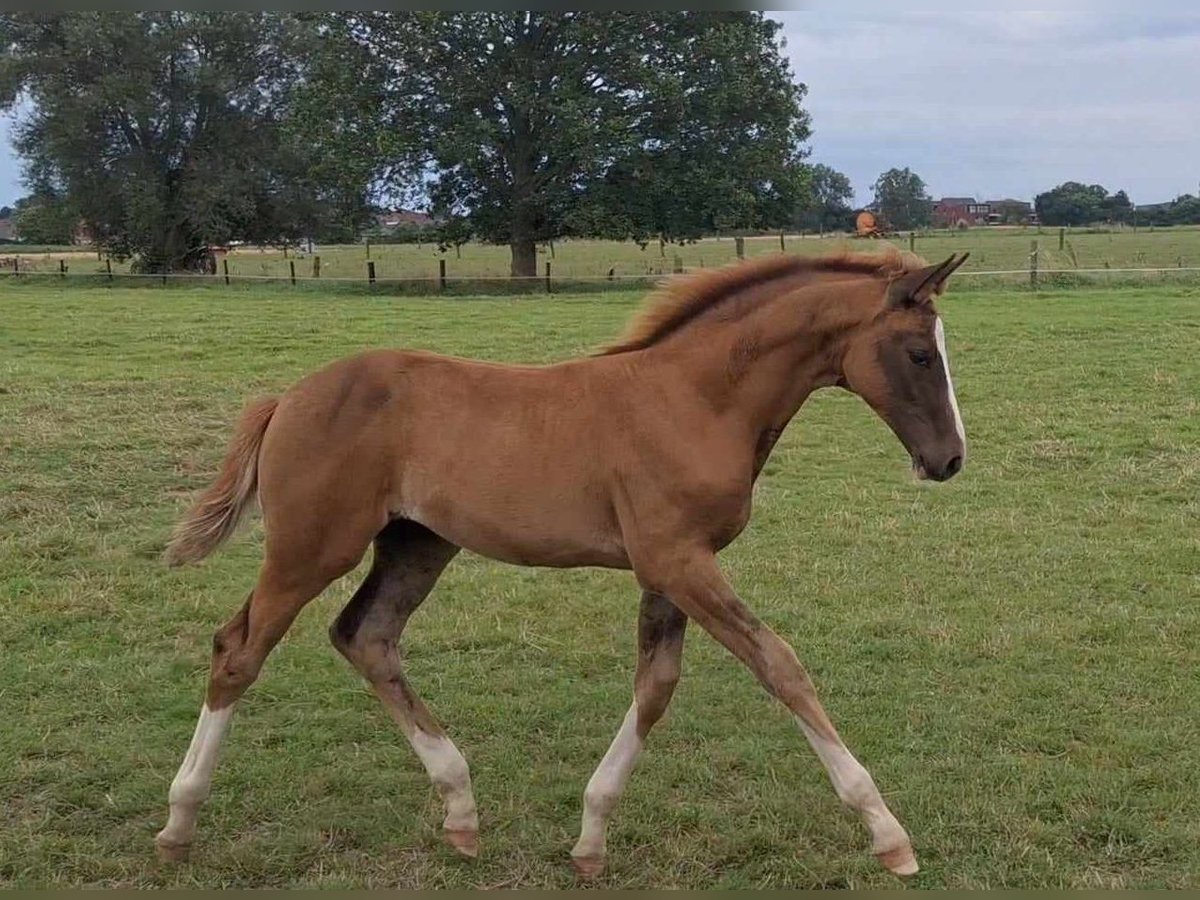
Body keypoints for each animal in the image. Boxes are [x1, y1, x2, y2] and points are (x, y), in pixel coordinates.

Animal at [154, 248, 969, 883]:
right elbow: (781, 666)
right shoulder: (680, 560)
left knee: (366, 636)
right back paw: (179, 822)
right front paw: (887, 833)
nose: (950, 462)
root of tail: (288, 397)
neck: (695, 400)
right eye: (920, 354)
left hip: (419, 543)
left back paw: (461, 810)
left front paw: (590, 838)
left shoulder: (668, 566)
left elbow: (657, 684)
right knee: (239, 649)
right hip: (312, 548)